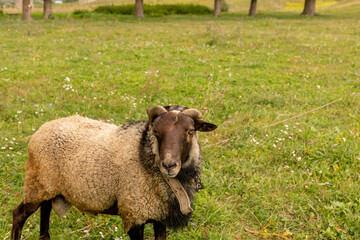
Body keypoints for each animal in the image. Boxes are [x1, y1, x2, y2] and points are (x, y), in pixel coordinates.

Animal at [11, 105, 217, 240]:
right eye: (157, 132)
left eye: (190, 131)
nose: (169, 164)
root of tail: (43, 127)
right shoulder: (134, 214)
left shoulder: (160, 217)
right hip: (37, 184)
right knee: (19, 215)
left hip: (47, 187)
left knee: (45, 211)